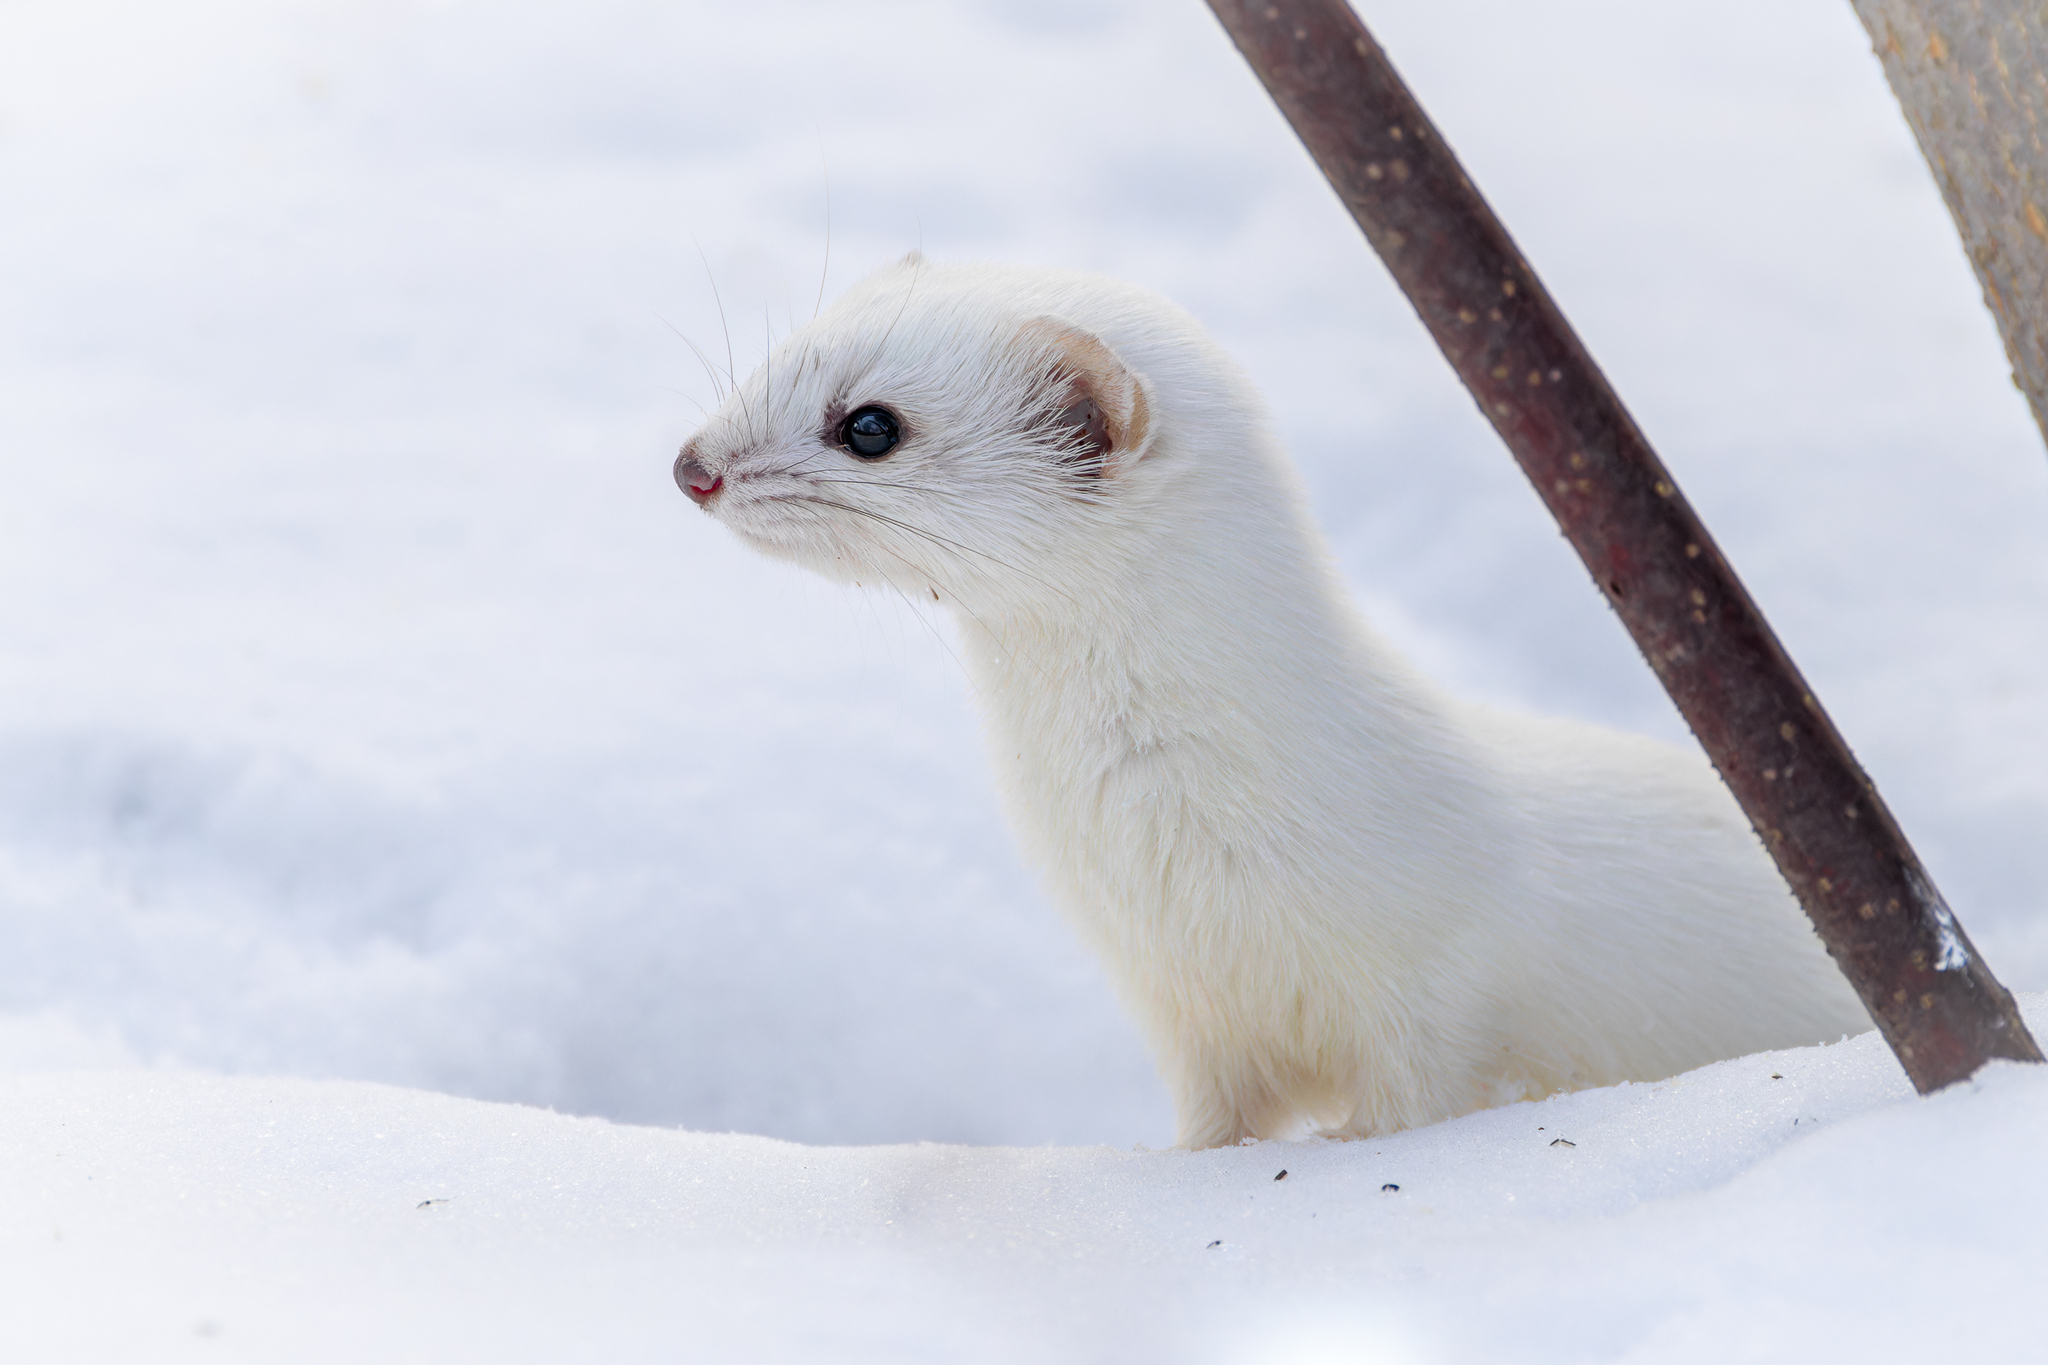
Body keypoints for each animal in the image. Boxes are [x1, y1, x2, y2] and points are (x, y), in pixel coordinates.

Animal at [675, 253, 1875, 1146]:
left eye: (870, 424)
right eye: (788, 347)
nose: (691, 463)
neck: (1168, 859)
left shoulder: (1443, 970)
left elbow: (1423, 1094)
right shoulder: (1178, 1004)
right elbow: (1219, 1120)